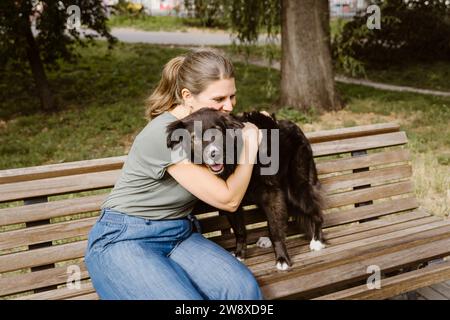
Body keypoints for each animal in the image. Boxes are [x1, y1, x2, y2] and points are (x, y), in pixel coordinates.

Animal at [165, 108, 324, 270]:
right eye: (194, 138)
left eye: (217, 132)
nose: (214, 154)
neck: (233, 160)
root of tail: (297, 128)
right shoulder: (232, 200)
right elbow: (240, 230)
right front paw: (240, 253)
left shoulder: (271, 193)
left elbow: (274, 228)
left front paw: (282, 259)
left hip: (295, 189)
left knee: (317, 213)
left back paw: (317, 241)